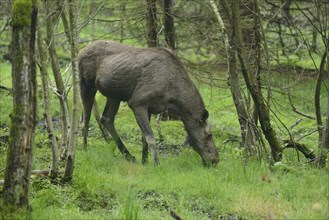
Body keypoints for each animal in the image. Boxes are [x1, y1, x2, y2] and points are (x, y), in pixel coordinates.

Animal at [78, 40, 219, 165]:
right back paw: (84, 148)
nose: (215, 160)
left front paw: (144, 161)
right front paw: (156, 163)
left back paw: (128, 155)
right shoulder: (137, 102)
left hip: (114, 96)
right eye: (209, 134)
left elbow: (143, 138)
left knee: (106, 119)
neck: (173, 97)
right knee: (85, 120)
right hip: (86, 85)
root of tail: (80, 51)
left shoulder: (150, 107)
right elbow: (151, 137)